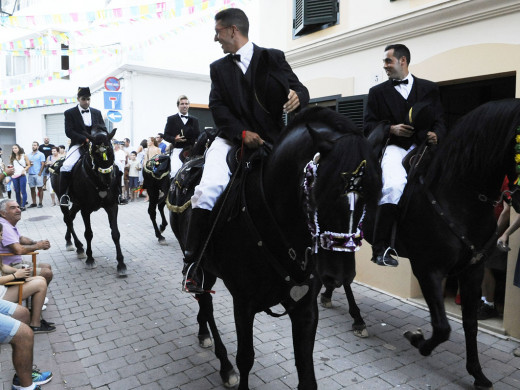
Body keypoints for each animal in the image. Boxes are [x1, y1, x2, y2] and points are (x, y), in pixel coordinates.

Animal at [51, 126, 127, 276]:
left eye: (111, 151)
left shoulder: (112, 206)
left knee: (71, 217)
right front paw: (90, 259)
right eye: (95, 154)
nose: (107, 181)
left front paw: (121, 264)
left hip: (76, 204)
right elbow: (88, 234)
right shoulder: (85, 210)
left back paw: (70, 242)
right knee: (68, 219)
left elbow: (115, 234)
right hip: (64, 200)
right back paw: (79, 247)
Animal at [171, 105, 382, 388]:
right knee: (205, 300)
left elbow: (307, 375)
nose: (339, 275)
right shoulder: (244, 303)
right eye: (320, 192)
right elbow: (245, 358)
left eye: (371, 195)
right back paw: (224, 364)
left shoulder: (305, 307)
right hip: (201, 266)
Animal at [362, 98, 520, 390]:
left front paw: (477, 373)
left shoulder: (472, 270)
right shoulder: (428, 270)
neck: (458, 195)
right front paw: (417, 339)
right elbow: (443, 328)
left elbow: (470, 324)